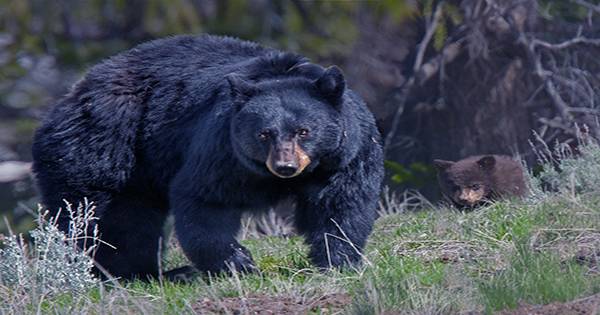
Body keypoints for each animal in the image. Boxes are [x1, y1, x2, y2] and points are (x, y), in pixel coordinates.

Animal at [31, 34, 384, 280]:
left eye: (304, 131)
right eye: (264, 133)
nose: (286, 166)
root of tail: (67, 100)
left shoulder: (344, 155)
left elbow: (340, 204)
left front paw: (338, 262)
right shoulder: (222, 149)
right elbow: (205, 200)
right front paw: (239, 263)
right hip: (103, 145)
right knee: (109, 218)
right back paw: (140, 274)